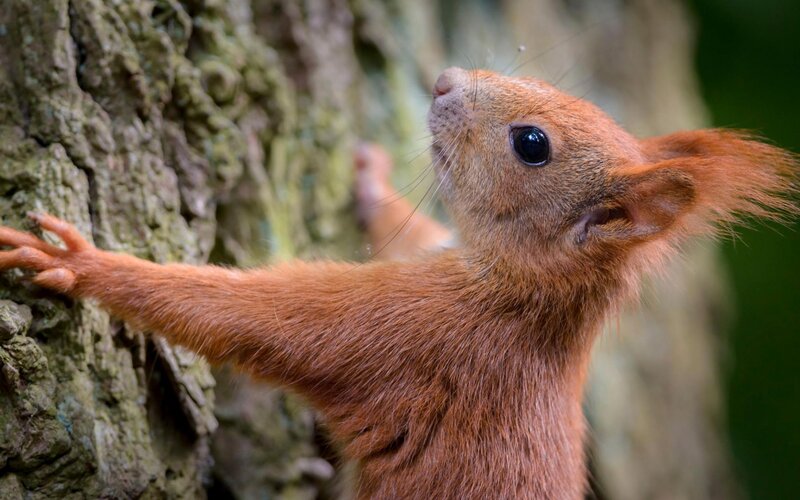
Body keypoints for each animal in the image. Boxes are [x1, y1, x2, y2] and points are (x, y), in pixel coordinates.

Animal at [0, 67, 796, 499]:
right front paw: (370, 181)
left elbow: (256, 318)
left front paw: (86, 263)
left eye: (531, 144)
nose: (442, 80)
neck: (520, 288)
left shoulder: (415, 332)